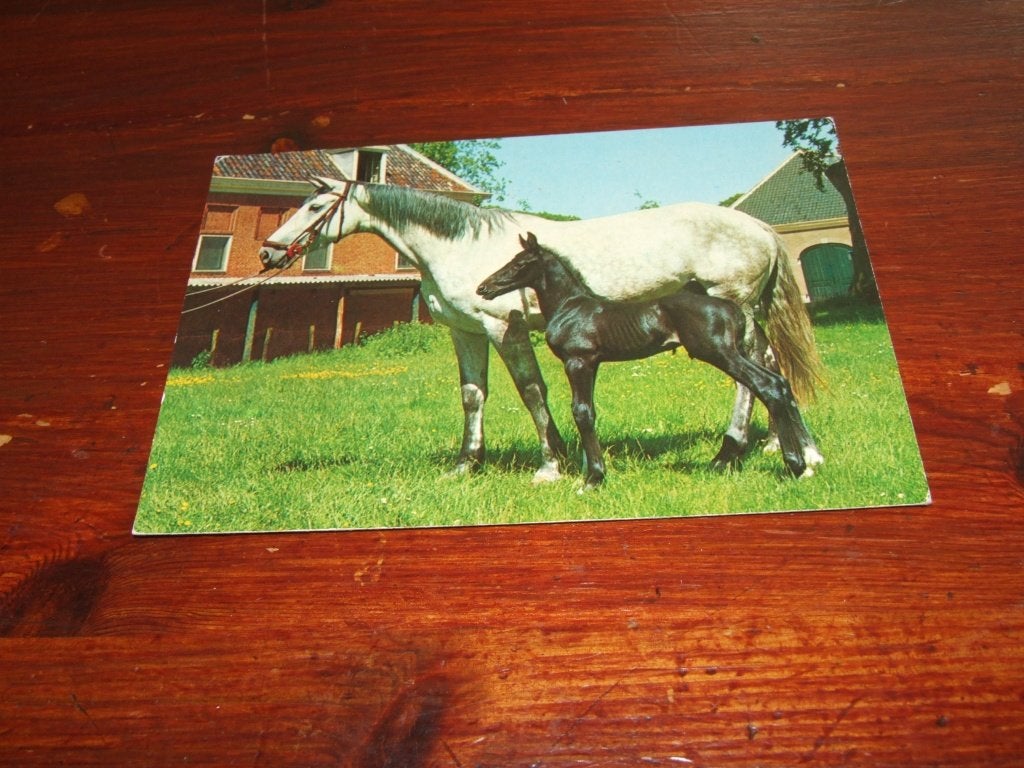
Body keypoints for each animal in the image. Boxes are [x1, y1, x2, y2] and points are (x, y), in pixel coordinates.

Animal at [477, 232, 824, 489]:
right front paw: (594, 473)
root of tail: (733, 310)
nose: (484, 287)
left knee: (767, 385)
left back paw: (793, 465)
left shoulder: (578, 361)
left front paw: (592, 480)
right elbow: (588, 413)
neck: (571, 306)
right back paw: (804, 462)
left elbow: (581, 413)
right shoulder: (593, 363)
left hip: (720, 353)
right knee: (778, 383)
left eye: (520, 263)